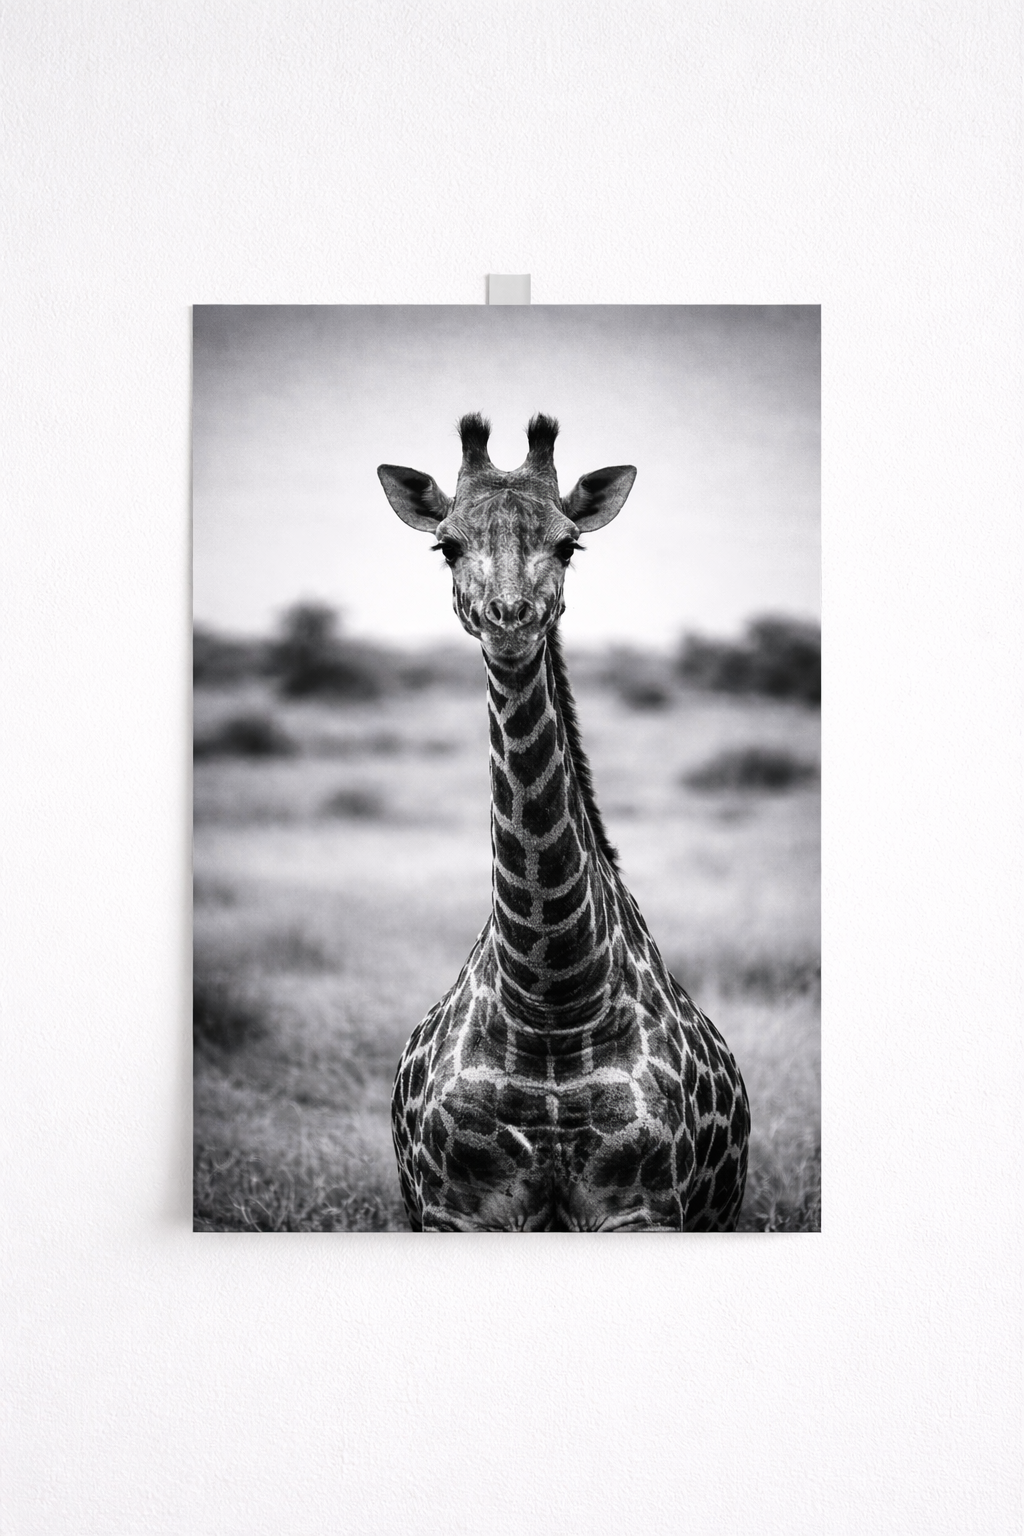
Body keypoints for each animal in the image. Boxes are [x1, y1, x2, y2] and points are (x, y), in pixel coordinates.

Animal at [377, 414, 750, 1231]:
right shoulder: (453, 1209)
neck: (549, 1001)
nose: (510, 619)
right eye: (446, 545)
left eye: (569, 544)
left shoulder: (644, 1209)